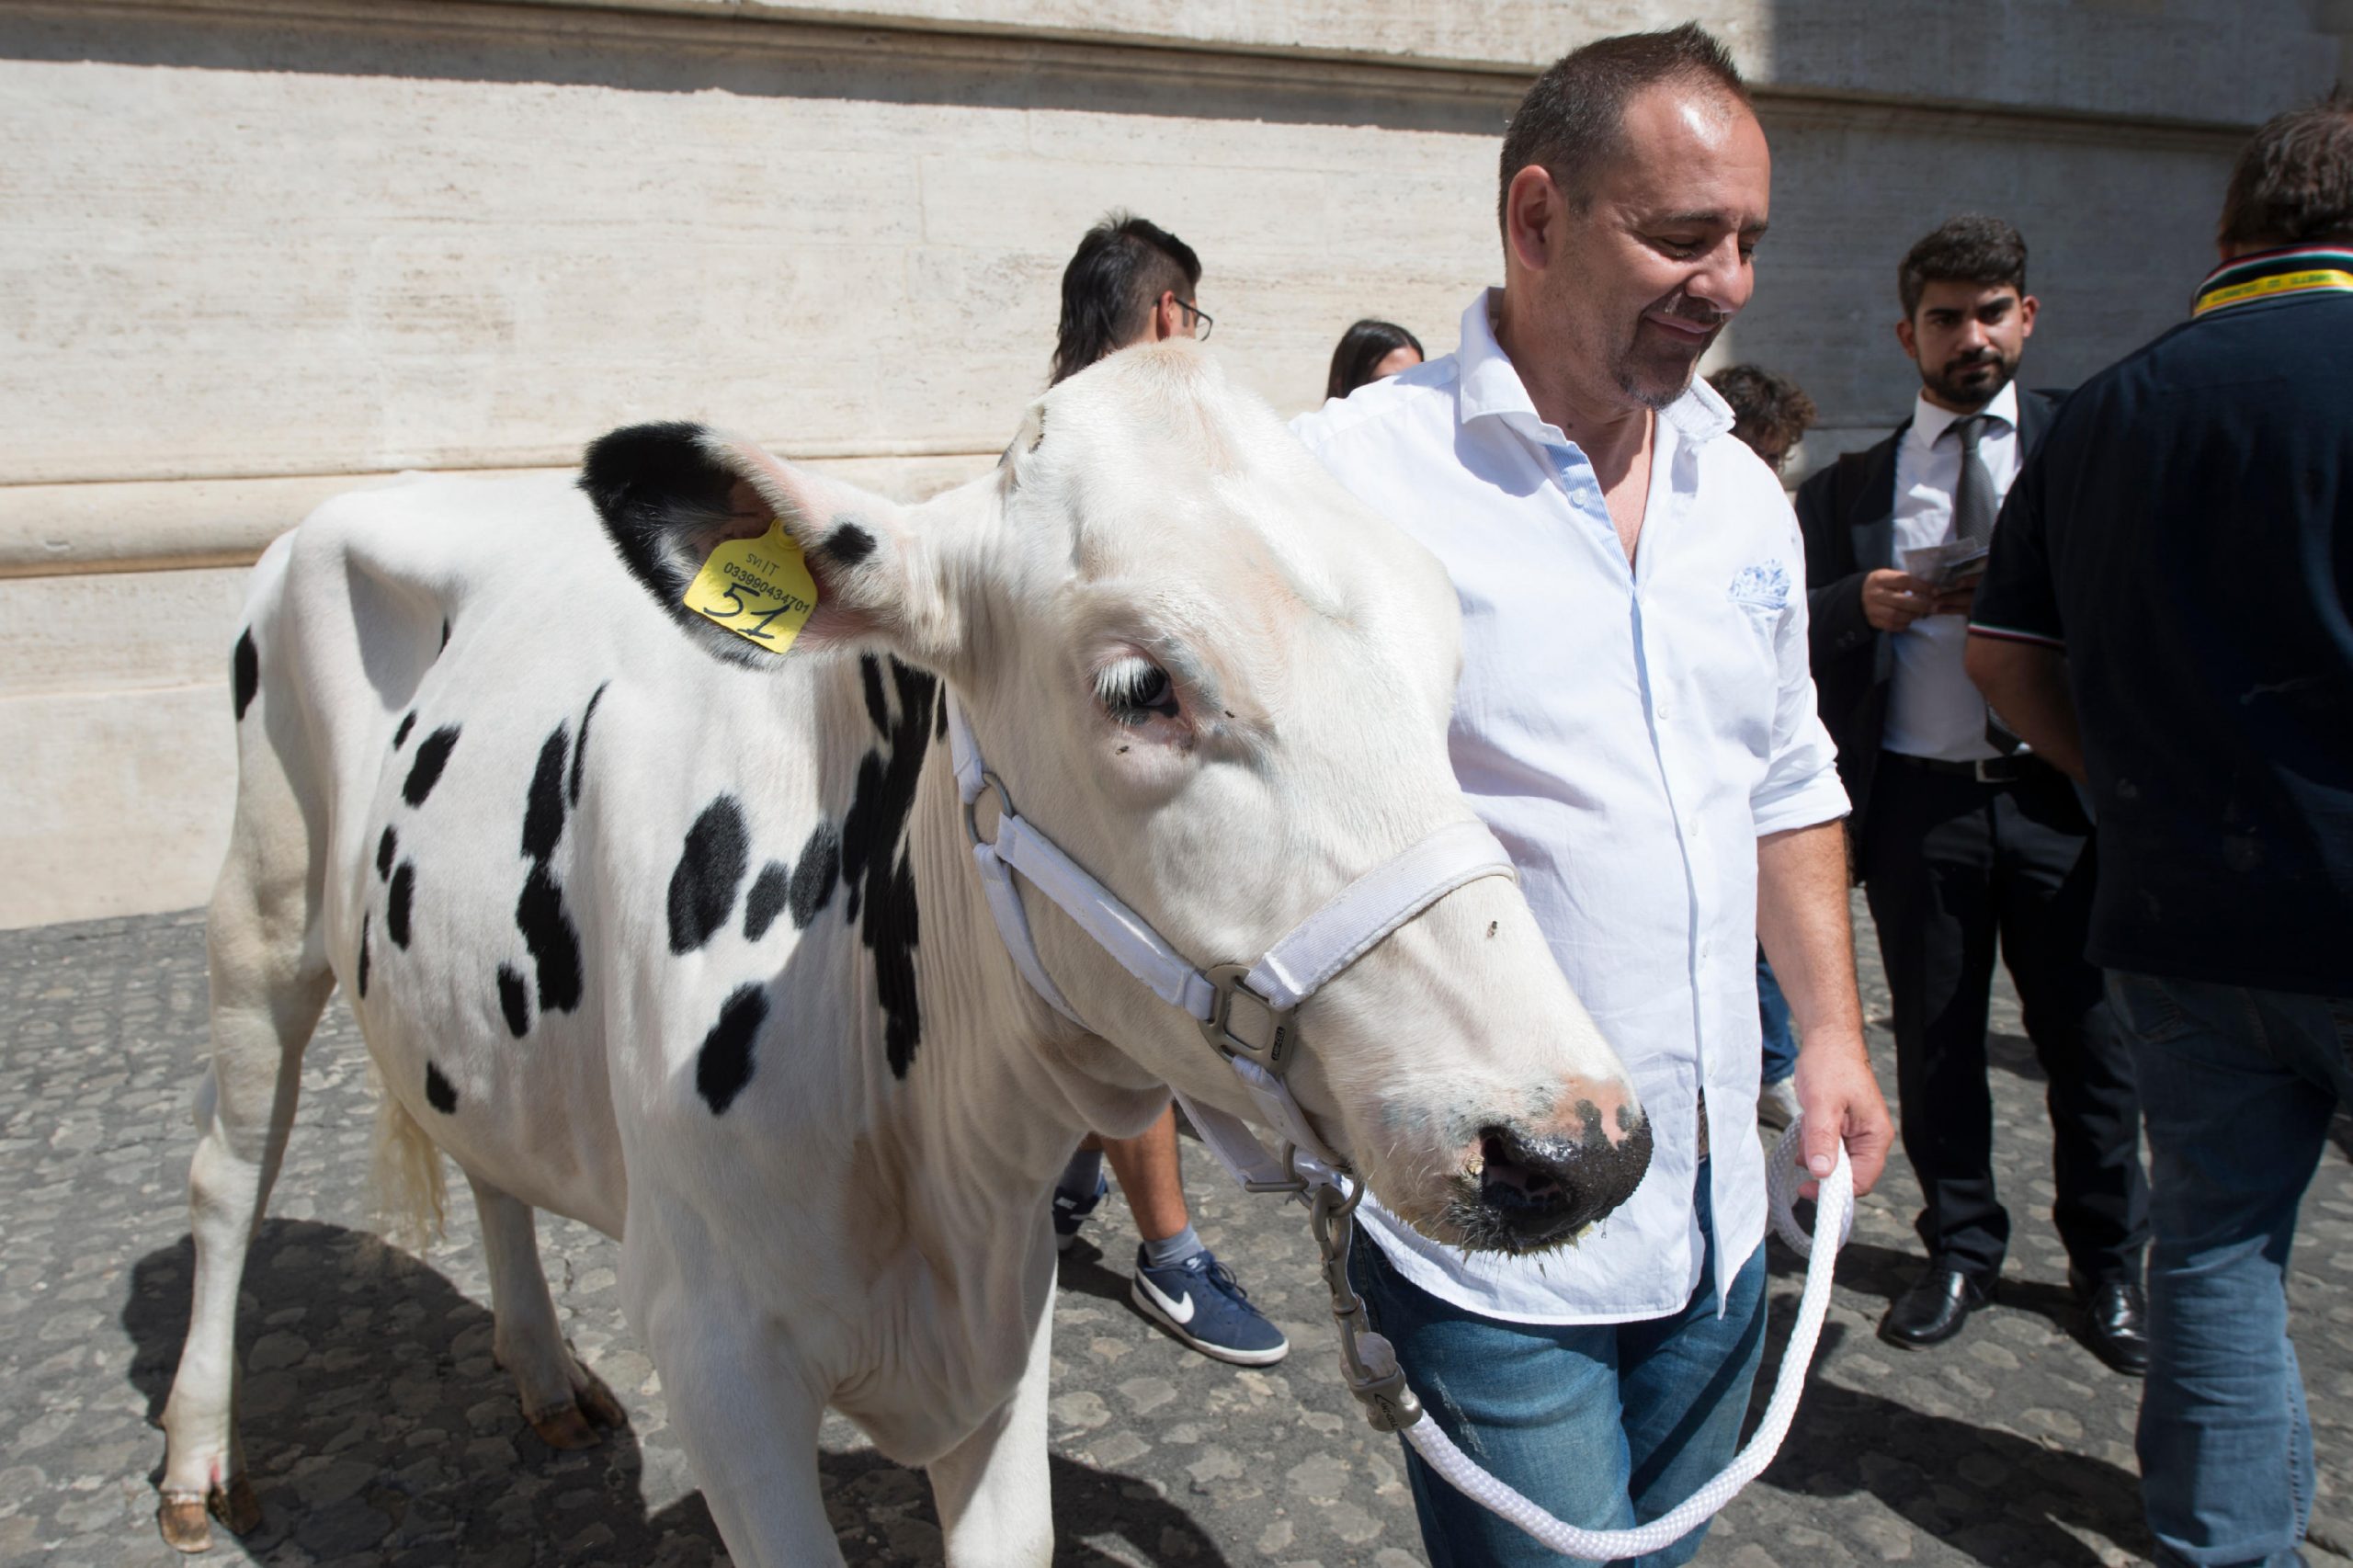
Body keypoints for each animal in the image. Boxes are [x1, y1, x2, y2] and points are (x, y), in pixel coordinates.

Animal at [156, 343, 1654, 1566]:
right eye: (1141, 687)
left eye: (1447, 657)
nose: (1572, 1142)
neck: (924, 1142)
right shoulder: (713, 1353)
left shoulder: (1005, 1315)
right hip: (262, 902)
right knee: (228, 1173)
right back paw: (193, 1459)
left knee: (479, 1146)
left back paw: (538, 1372)